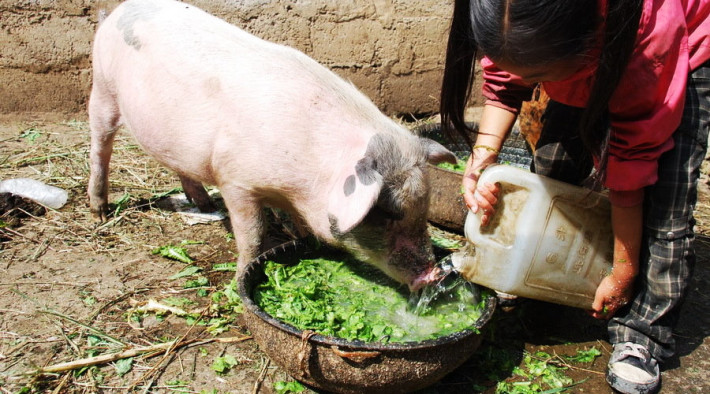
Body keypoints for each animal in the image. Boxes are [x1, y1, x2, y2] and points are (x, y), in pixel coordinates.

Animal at [87, 0, 456, 290]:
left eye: (425, 205)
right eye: (389, 212)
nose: (434, 274)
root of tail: (118, 9)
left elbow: (299, 225)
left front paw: (302, 239)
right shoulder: (235, 180)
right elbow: (252, 235)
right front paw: (239, 282)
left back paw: (203, 204)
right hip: (102, 88)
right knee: (100, 147)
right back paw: (99, 211)